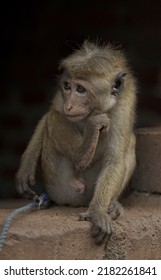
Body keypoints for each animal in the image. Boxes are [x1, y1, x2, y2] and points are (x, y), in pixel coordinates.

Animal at [15, 40, 136, 244]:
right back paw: (82, 154)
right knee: (54, 117)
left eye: (81, 89)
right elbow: (49, 115)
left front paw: (97, 211)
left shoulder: (123, 105)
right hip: (61, 187)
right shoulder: (61, 96)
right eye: (67, 86)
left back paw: (111, 204)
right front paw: (26, 168)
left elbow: (114, 160)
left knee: (131, 140)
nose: (69, 105)